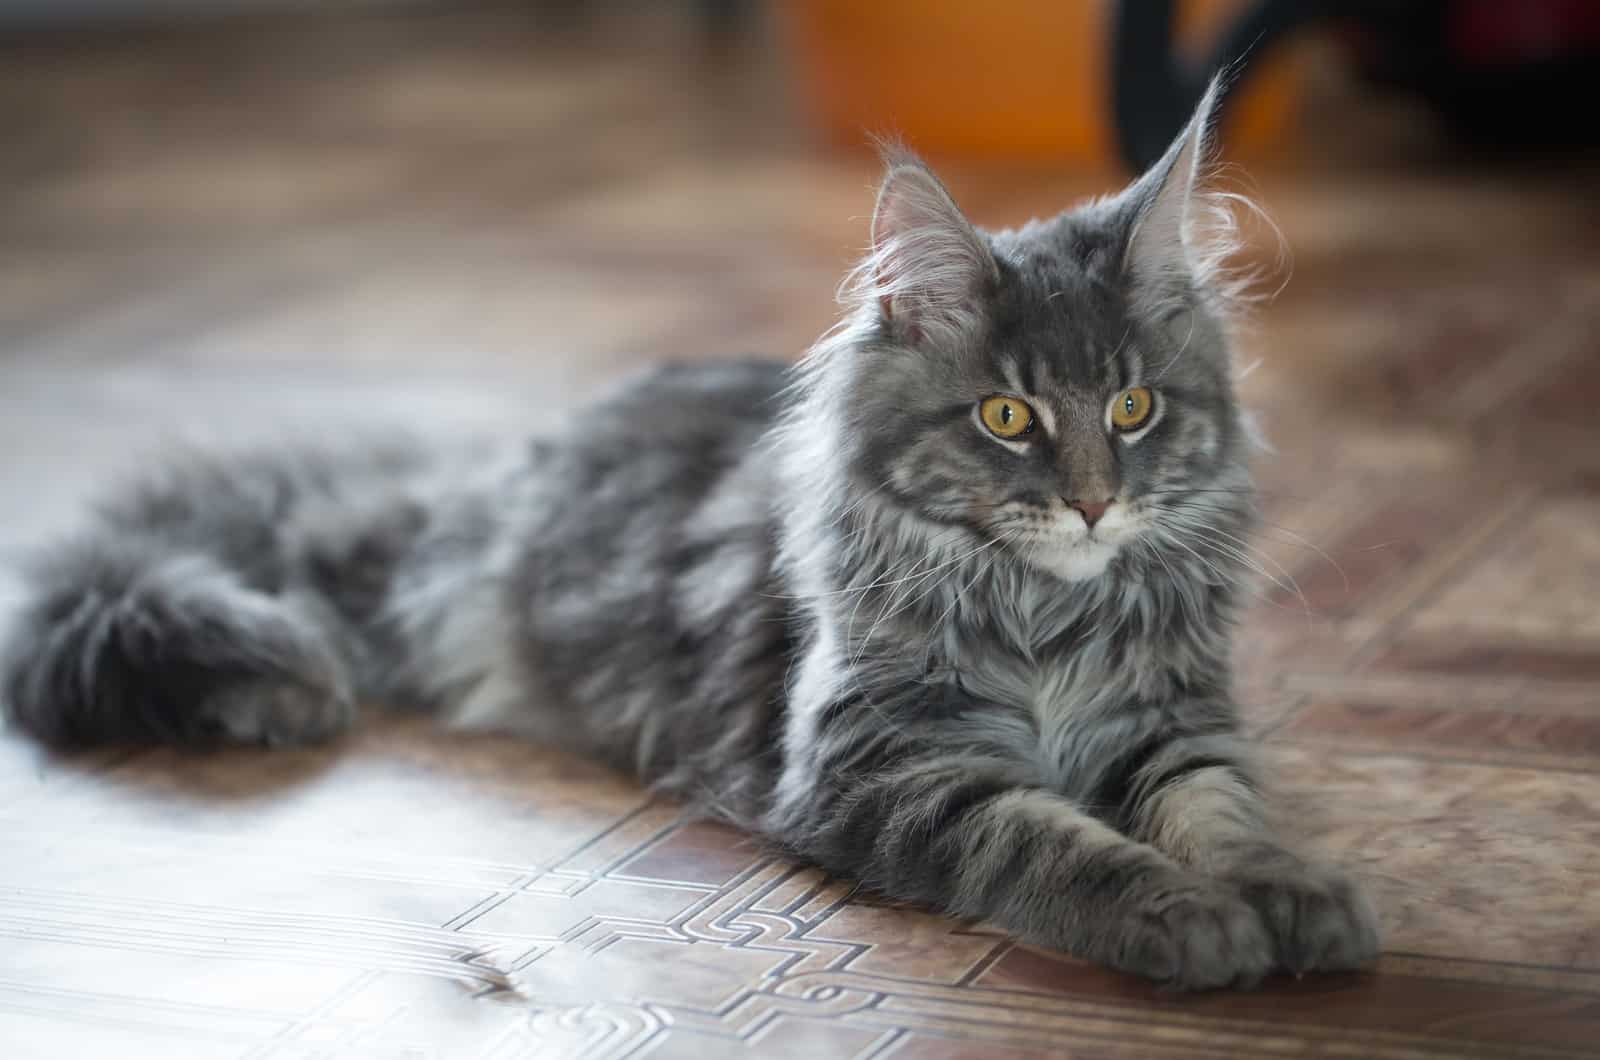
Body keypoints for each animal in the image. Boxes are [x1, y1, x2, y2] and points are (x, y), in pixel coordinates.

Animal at [0, 87, 1376, 992]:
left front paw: (1293, 898)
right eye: (1008, 418)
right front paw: (1189, 920)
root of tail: (516, 461)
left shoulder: (1171, 721)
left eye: (1134, 409)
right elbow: (1059, 843)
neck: (1051, 616)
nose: (1094, 503)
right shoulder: (892, 768)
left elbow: (1223, 814)